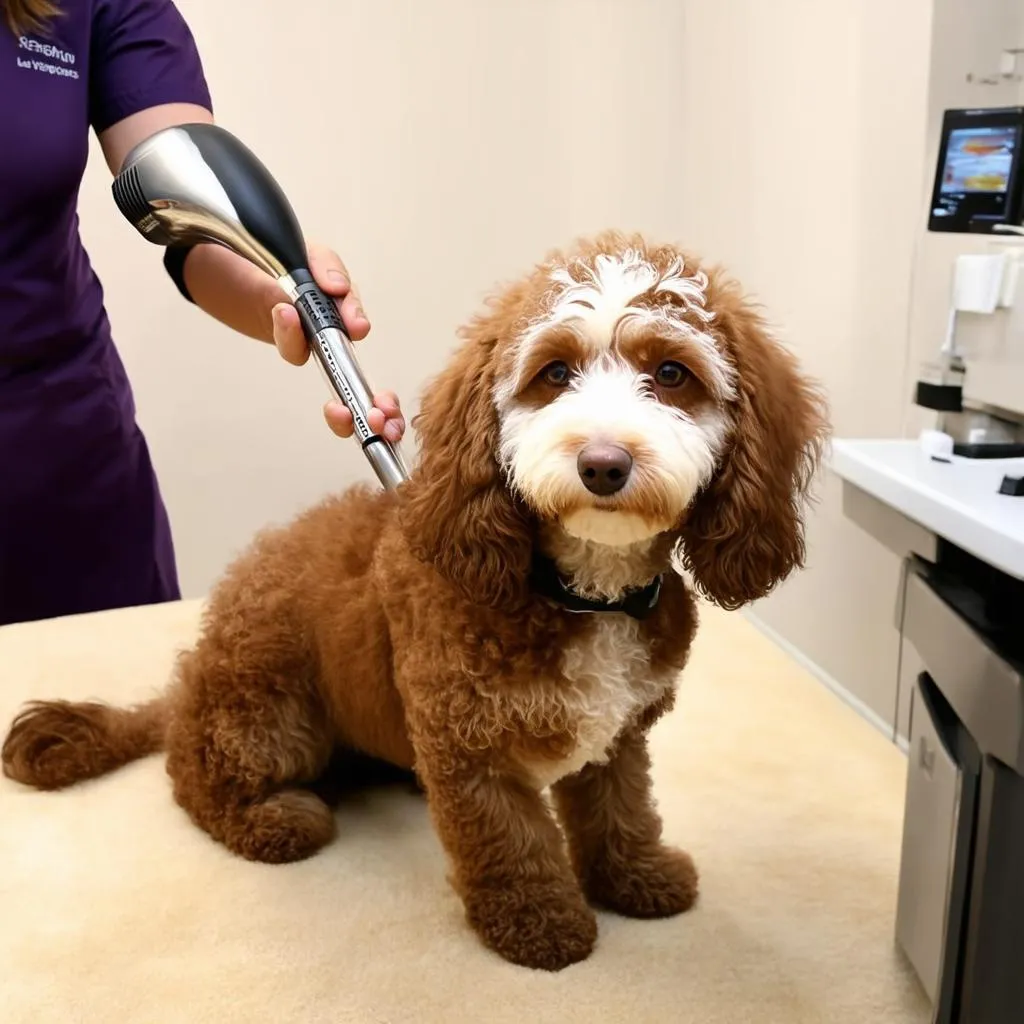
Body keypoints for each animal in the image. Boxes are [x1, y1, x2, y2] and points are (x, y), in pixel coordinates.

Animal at [2, 230, 831, 966]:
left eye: (672, 372)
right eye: (554, 373)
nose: (603, 464)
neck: (579, 589)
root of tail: (193, 672)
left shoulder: (617, 735)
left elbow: (620, 809)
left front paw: (635, 877)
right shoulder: (466, 745)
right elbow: (509, 841)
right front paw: (537, 924)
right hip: (269, 711)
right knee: (192, 772)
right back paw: (273, 819)